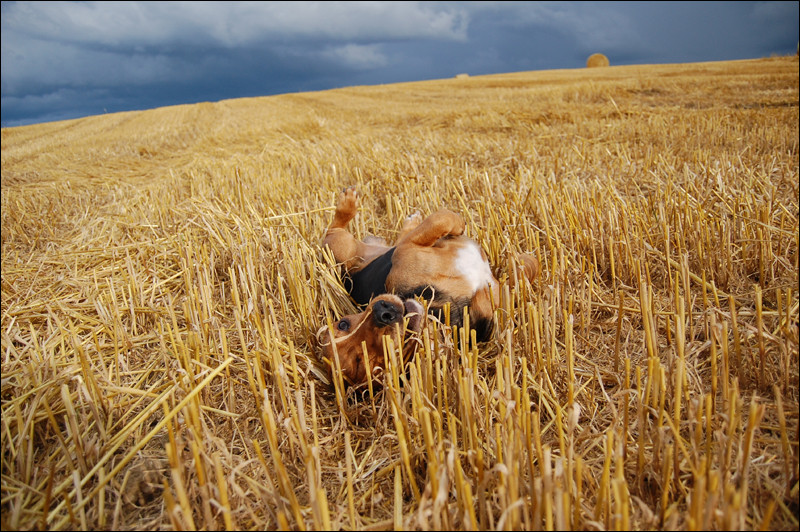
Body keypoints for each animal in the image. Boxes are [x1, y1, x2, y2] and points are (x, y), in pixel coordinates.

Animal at [314, 189, 536, 388]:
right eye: (361, 364)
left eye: (343, 324)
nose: (382, 313)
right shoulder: (404, 252)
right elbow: (440, 218)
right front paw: (458, 224)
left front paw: (522, 261)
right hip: (336, 247)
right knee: (333, 229)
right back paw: (347, 205)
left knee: (394, 235)